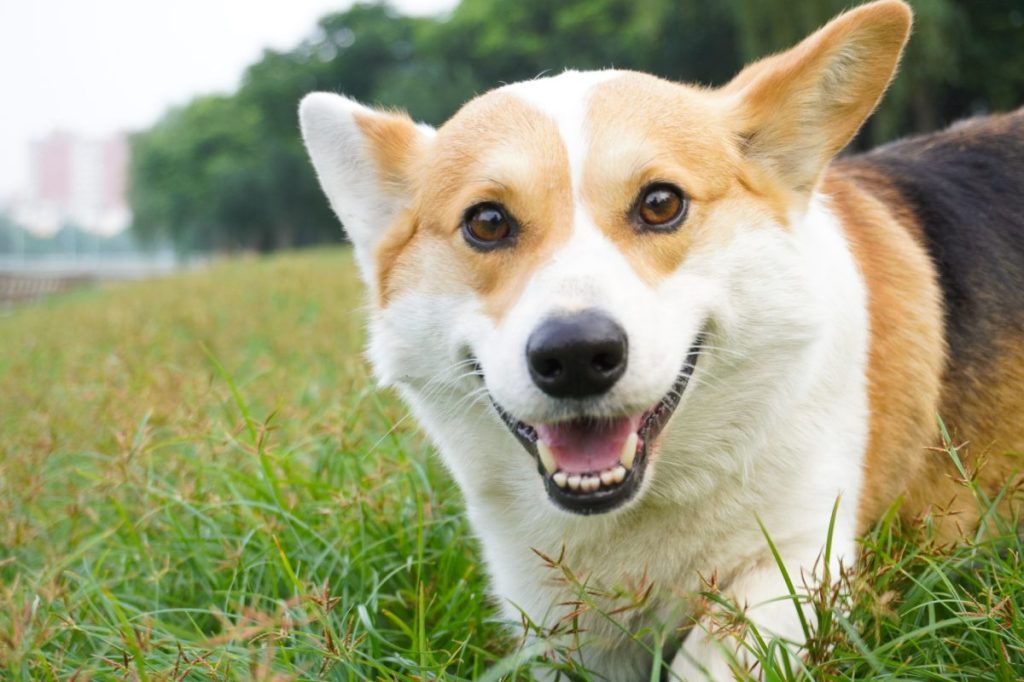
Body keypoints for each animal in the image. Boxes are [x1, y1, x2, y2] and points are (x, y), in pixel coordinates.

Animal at [299, 1, 1019, 675]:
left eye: (660, 203)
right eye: (487, 222)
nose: (577, 356)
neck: (644, 507)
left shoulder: (797, 561)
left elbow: (709, 657)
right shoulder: (557, 629)